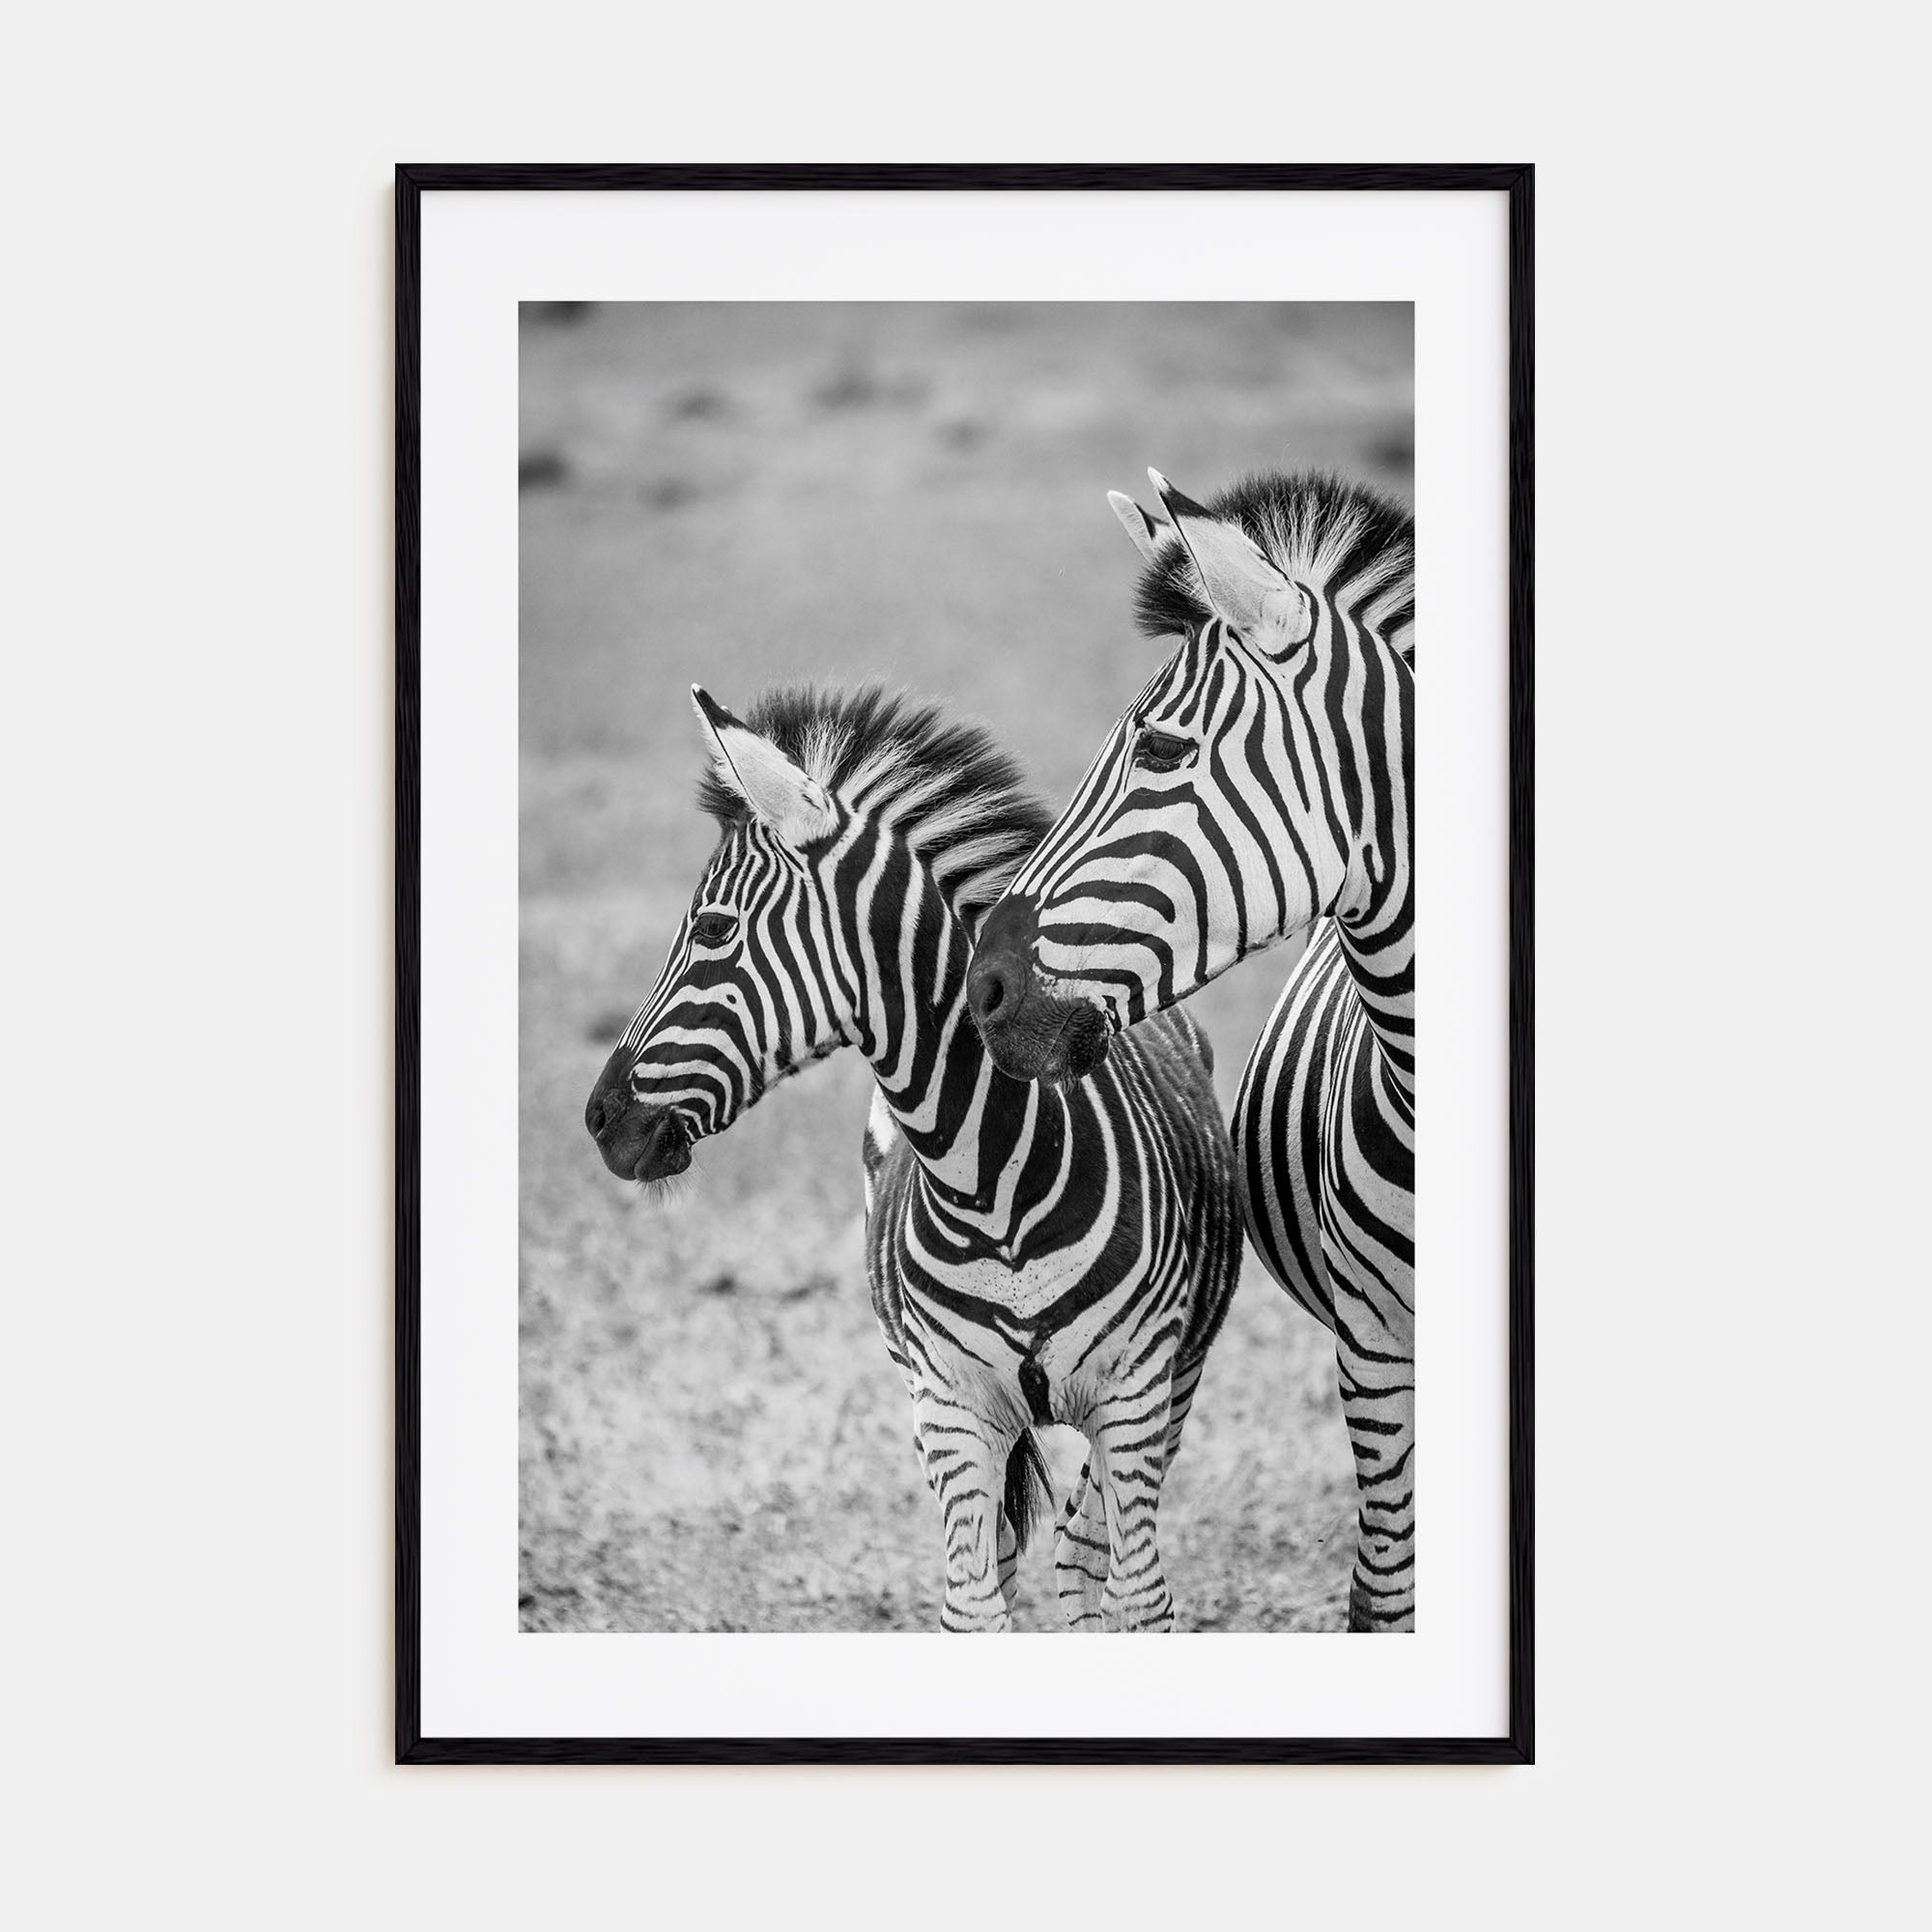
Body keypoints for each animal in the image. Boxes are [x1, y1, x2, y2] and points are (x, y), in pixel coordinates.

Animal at [583, 683, 1243, 1632]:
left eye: (711, 929)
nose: (599, 1118)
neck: (994, 1184)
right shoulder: (952, 1410)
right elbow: (972, 1607)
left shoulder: (1136, 1398)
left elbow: (1141, 1598)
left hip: (1173, 1385)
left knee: (1086, 1555)